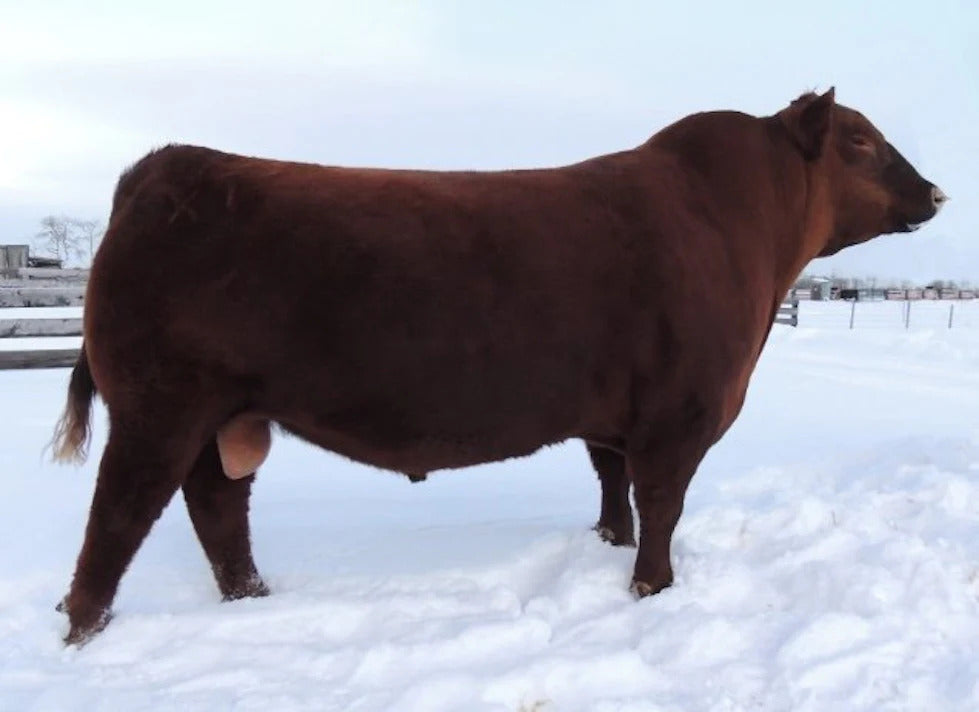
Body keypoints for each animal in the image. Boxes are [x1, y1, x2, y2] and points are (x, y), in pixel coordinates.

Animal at [51, 88, 945, 645]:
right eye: (860, 141)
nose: (935, 193)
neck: (744, 234)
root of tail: (166, 167)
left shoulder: (614, 417)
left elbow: (611, 483)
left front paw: (610, 545)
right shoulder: (680, 413)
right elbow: (661, 504)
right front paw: (652, 587)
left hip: (221, 415)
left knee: (216, 509)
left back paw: (251, 598)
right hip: (158, 406)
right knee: (117, 520)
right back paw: (85, 630)